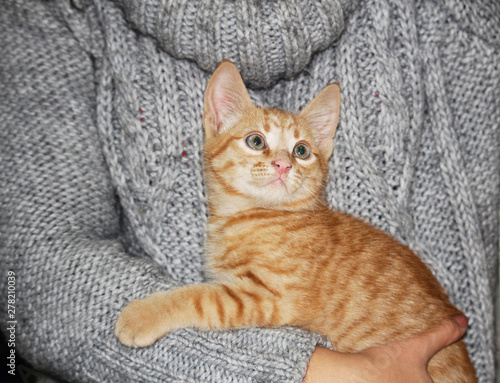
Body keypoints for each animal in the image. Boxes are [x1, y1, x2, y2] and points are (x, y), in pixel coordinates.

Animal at [116, 61, 476, 382]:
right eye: (256, 141)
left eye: (301, 150)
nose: (283, 165)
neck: (250, 215)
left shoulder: (268, 298)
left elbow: (200, 297)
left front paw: (141, 316)